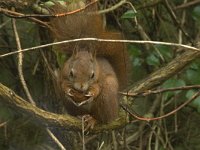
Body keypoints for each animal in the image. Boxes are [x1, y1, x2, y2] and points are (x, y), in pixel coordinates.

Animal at [49, 0, 129, 129]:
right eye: (71, 73)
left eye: (92, 75)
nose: (81, 87)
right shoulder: (62, 74)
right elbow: (63, 84)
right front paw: (68, 90)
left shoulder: (100, 78)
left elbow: (97, 88)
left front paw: (91, 93)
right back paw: (81, 116)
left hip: (106, 98)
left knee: (103, 119)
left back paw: (93, 119)